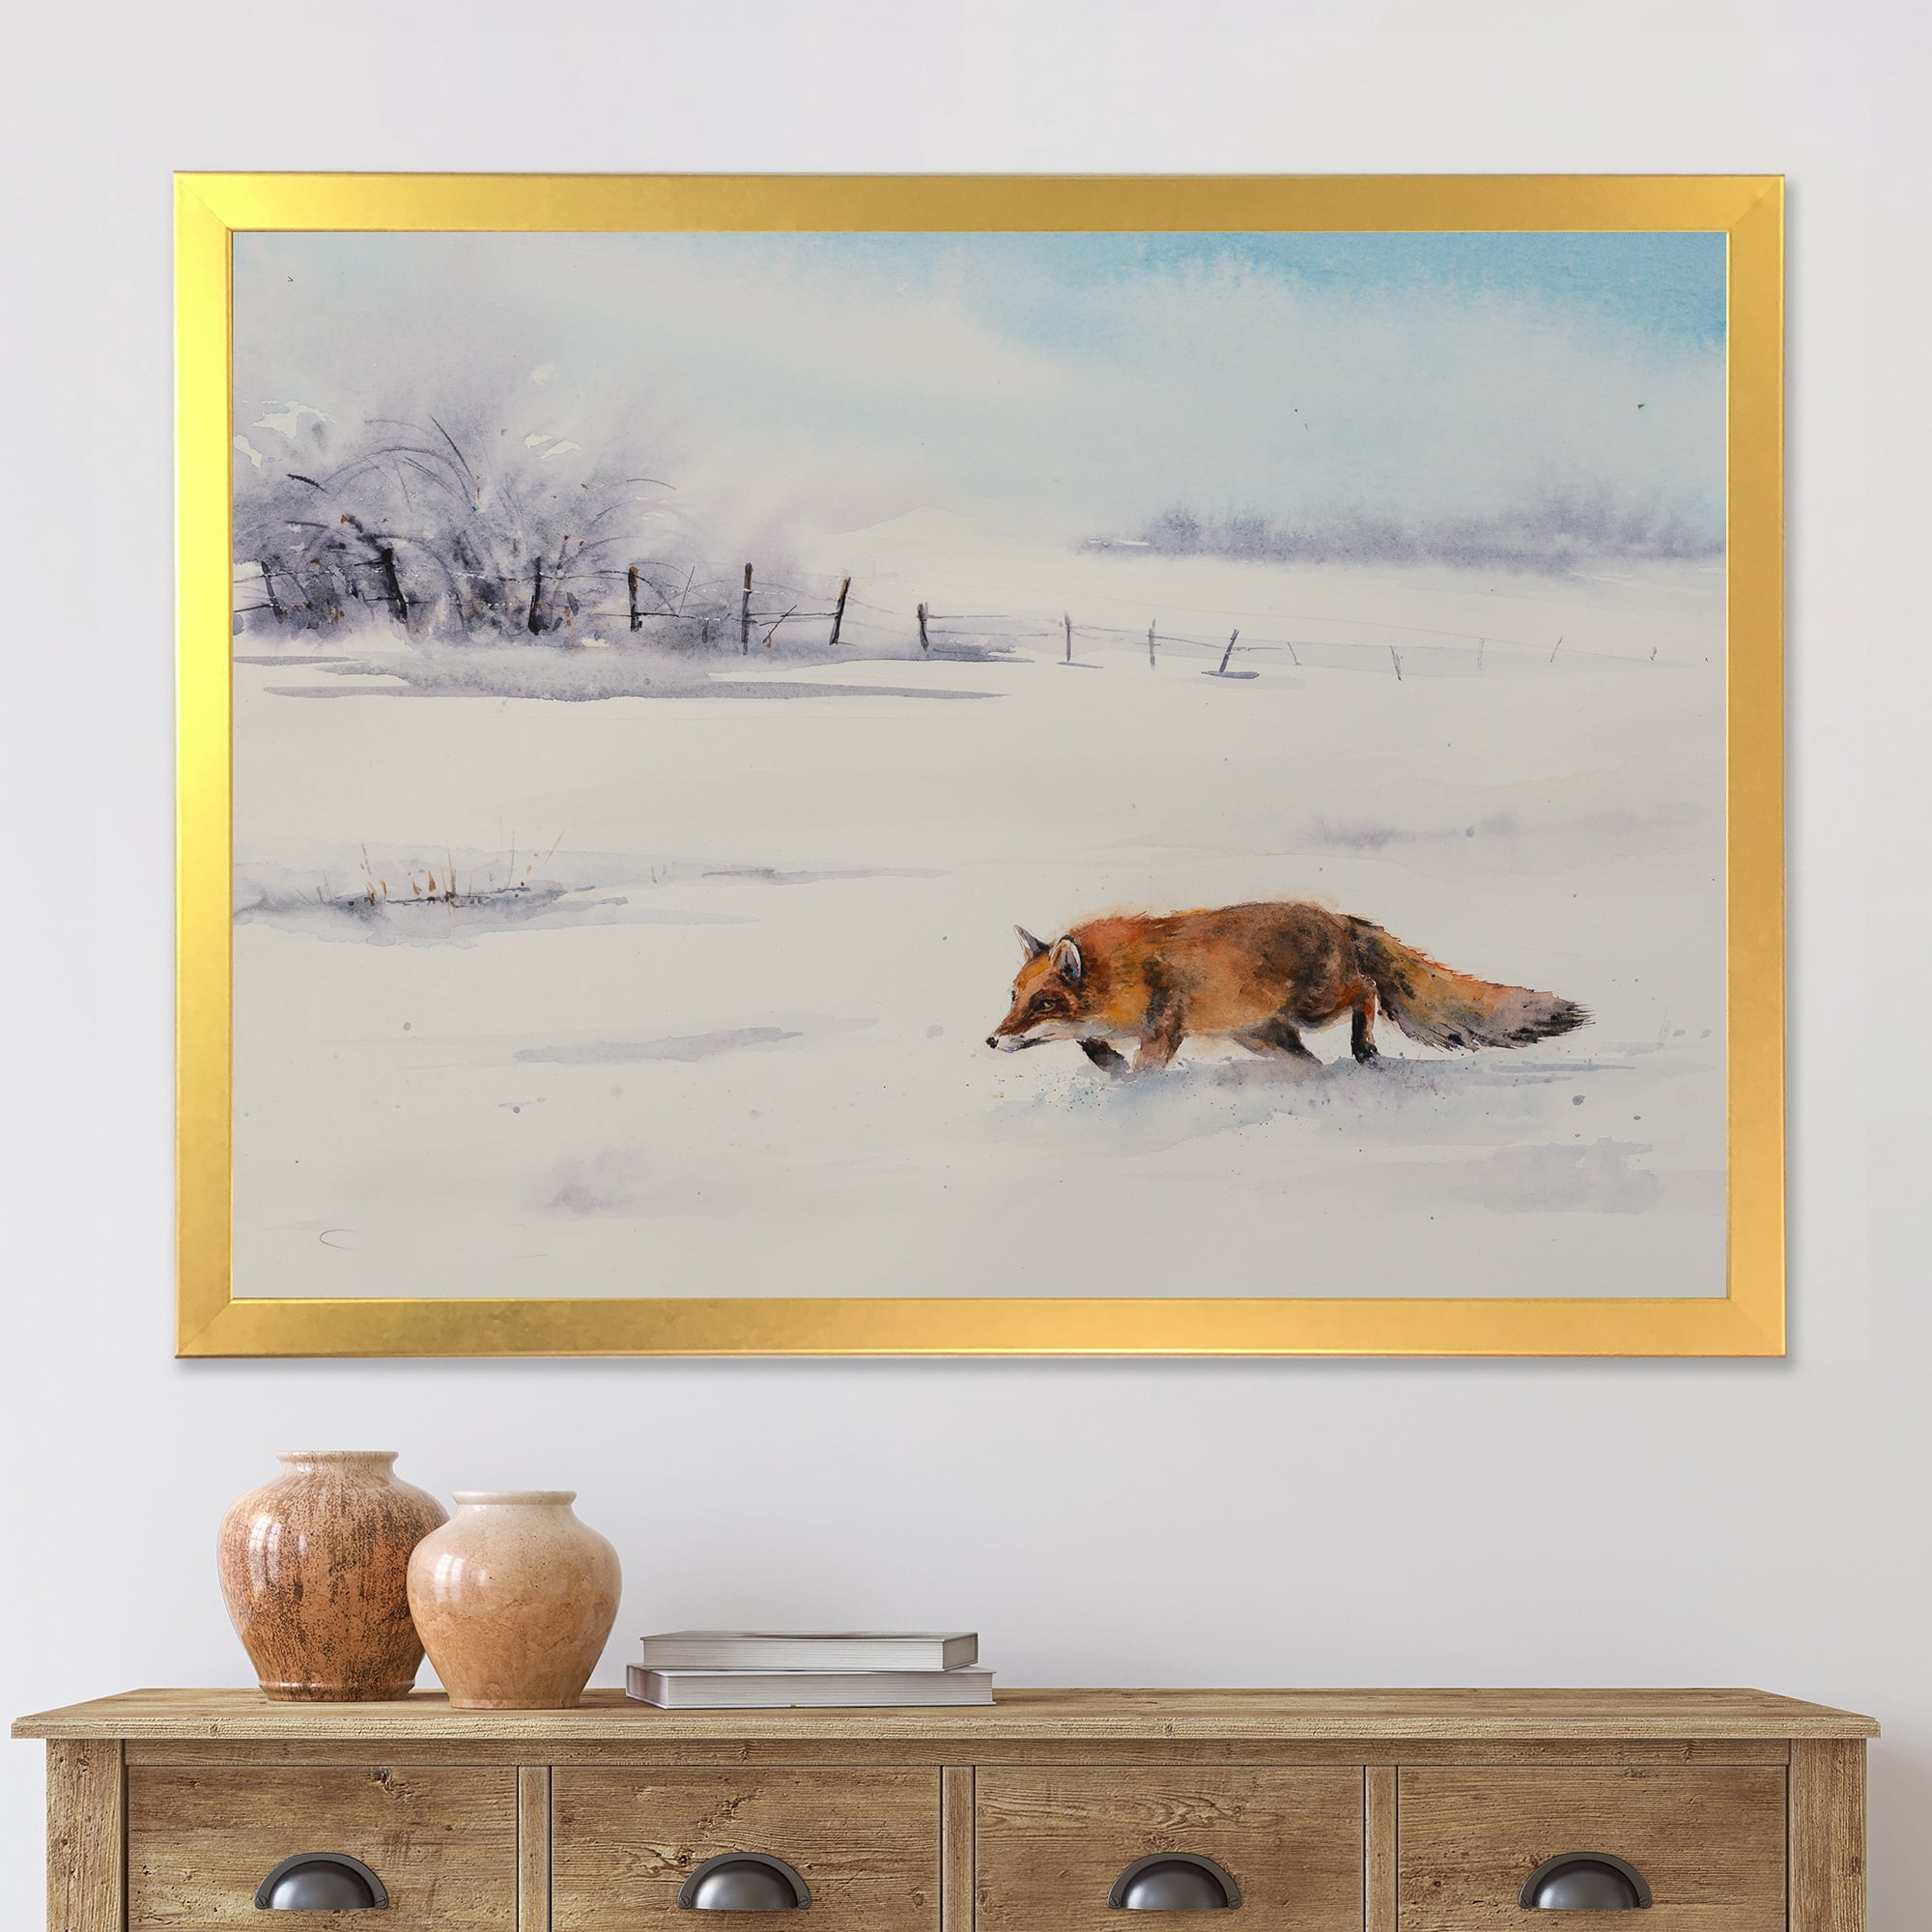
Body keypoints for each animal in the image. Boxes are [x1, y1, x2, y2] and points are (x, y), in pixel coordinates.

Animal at [986, 901, 1587, 1075]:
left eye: (1043, 1002)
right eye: (1013, 998)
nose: (992, 1040)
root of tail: (1340, 917)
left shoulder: (1164, 1025)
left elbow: (1145, 1068)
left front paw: (1131, 1095)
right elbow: (1093, 1048)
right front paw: (1108, 1067)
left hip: (1313, 1008)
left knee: (1367, 989)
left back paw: (1365, 1049)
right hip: (1264, 1035)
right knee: (1308, 1061)